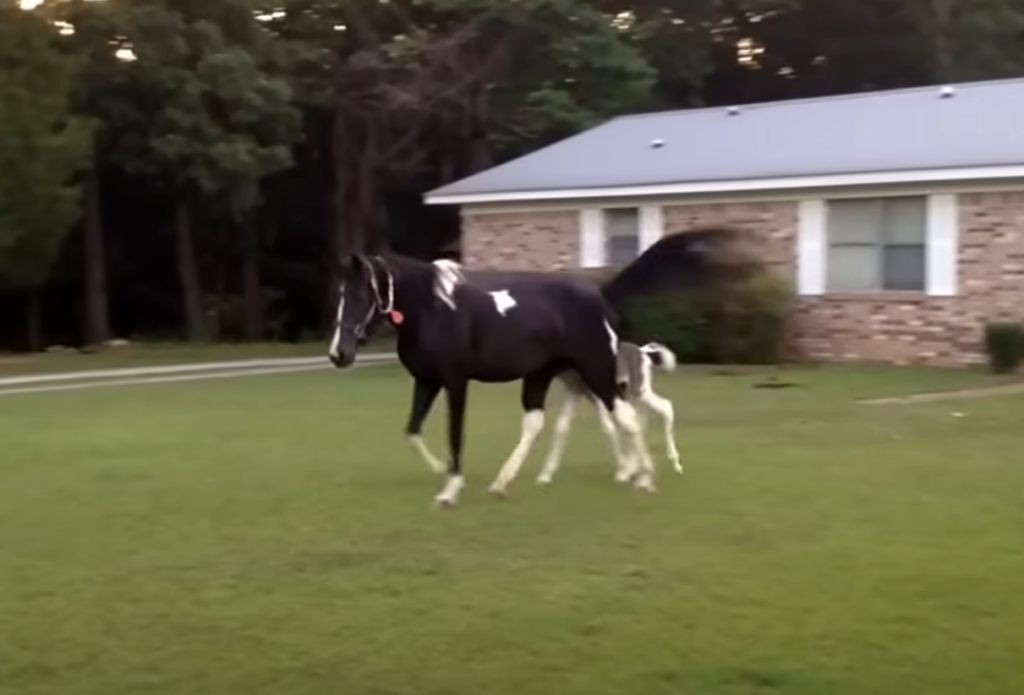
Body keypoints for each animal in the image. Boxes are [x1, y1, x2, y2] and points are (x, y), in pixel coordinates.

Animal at [326, 252, 657, 508]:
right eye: (340, 294)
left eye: (361, 294)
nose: (338, 354)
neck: (433, 309)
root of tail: (599, 299)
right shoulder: (427, 381)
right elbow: (412, 431)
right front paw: (439, 469)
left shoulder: (455, 381)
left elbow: (455, 433)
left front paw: (449, 492)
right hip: (545, 374)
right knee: (538, 423)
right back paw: (504, 483)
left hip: (594, 370)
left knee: (626, 416)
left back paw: (644, 480)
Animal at [536, 341, 683, 487]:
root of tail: (643, 352)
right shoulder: (576, 393)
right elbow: (562, 426)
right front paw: (545, 476)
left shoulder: (600, 396)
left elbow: (608, 428)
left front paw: (622, 472)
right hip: (630, 394)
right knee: (639, 419)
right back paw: (637, 468)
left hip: (639, 391)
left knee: (664, 407)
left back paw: (674, 464)